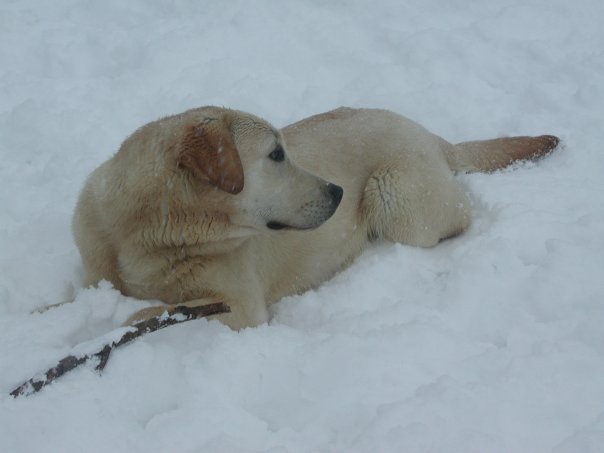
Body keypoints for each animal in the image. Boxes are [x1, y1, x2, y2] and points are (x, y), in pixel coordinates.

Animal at [73, 106, 560, 326]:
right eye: (276, 154)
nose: (338, 191)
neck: (150, 232)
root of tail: (429, 134)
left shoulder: (241, 308)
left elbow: (145, 313)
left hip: (396, 197)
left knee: (456, 216)